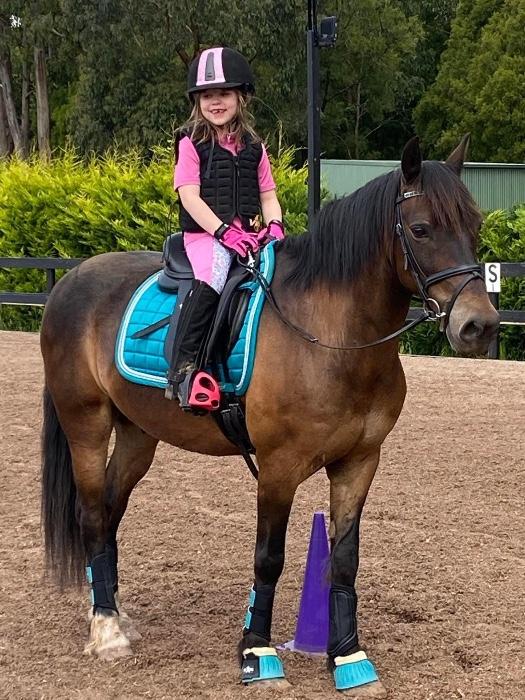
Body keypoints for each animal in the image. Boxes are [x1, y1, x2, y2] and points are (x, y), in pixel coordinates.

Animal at [40, 136, 499, 696]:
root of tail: (71, 279)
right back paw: (106, 631)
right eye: (421, 229)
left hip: (137, 434)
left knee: (108, 512)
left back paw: (109, 610)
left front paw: (348, 657)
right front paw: (257, 653)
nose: (479, 326)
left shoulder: (360, 462)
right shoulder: (279, 467)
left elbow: (343, 561)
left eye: (474, 226)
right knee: (89, 513)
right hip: (86, 422)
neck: (330, 335)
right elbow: (269, 558)